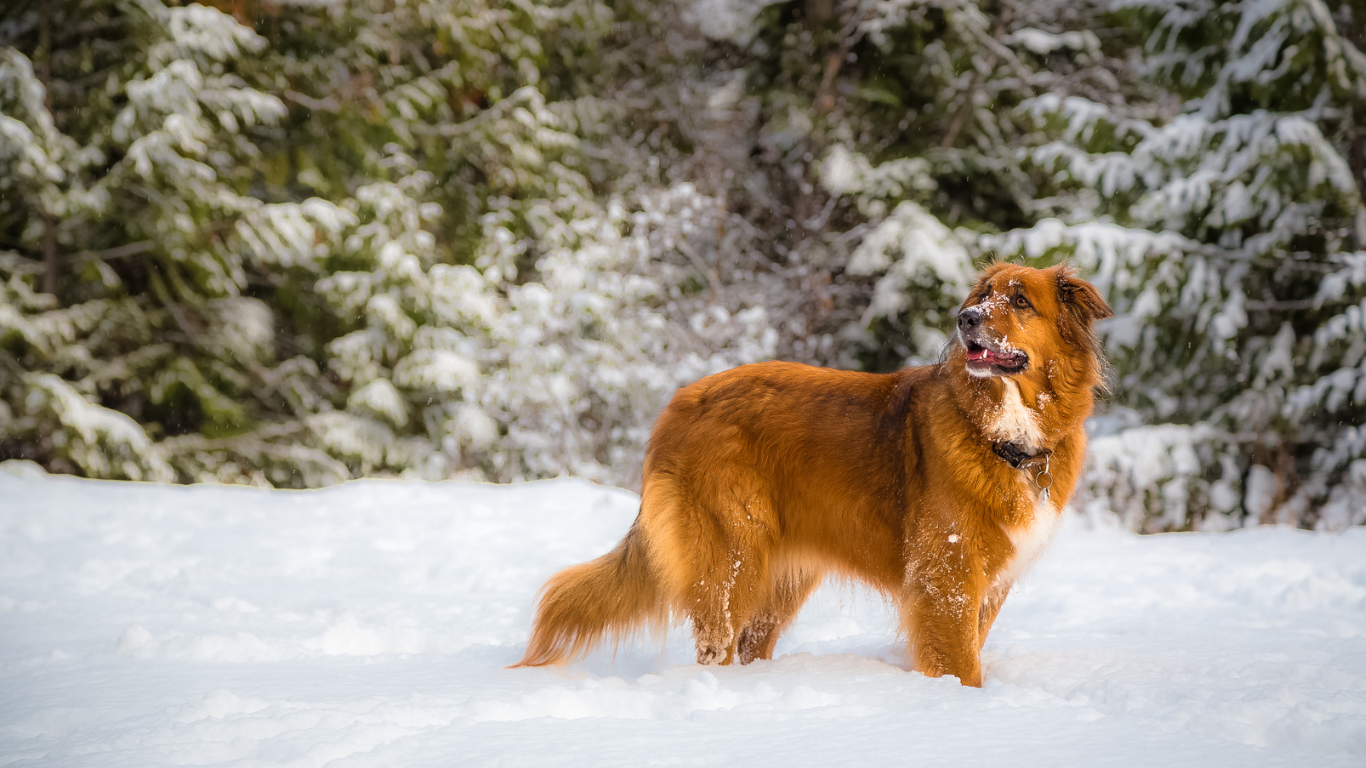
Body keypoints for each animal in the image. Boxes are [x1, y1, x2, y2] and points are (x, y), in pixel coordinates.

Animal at [513, 261, 1109, 680]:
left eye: (1019, 301)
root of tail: (680, 402)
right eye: (983, 298)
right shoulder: (947, 580)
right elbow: (961, 665)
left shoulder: (986, 585)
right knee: (716, 644)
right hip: (731, 559)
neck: (1001, 434)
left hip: (778, 579)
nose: (966, 320)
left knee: (749, 645)